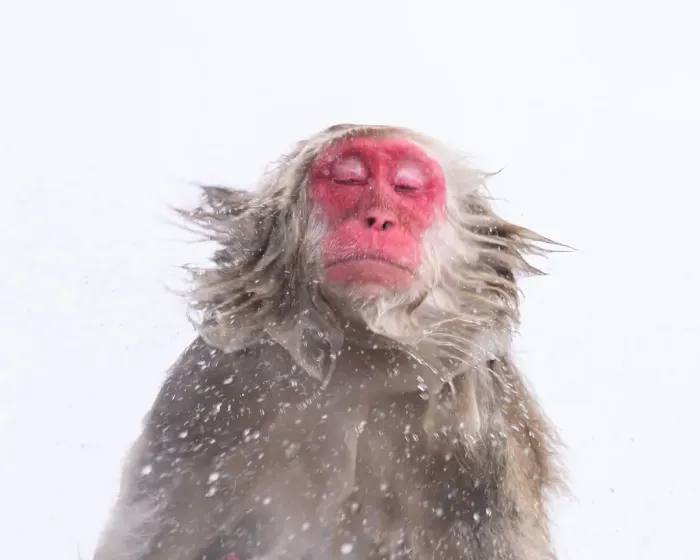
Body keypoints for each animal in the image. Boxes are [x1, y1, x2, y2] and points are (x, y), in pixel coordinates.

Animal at [93, 124, 564, 560]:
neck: (361, 357)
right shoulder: (205, 394)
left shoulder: (483, 439)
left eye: (406, 186)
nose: (379, 219)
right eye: (349, 179)